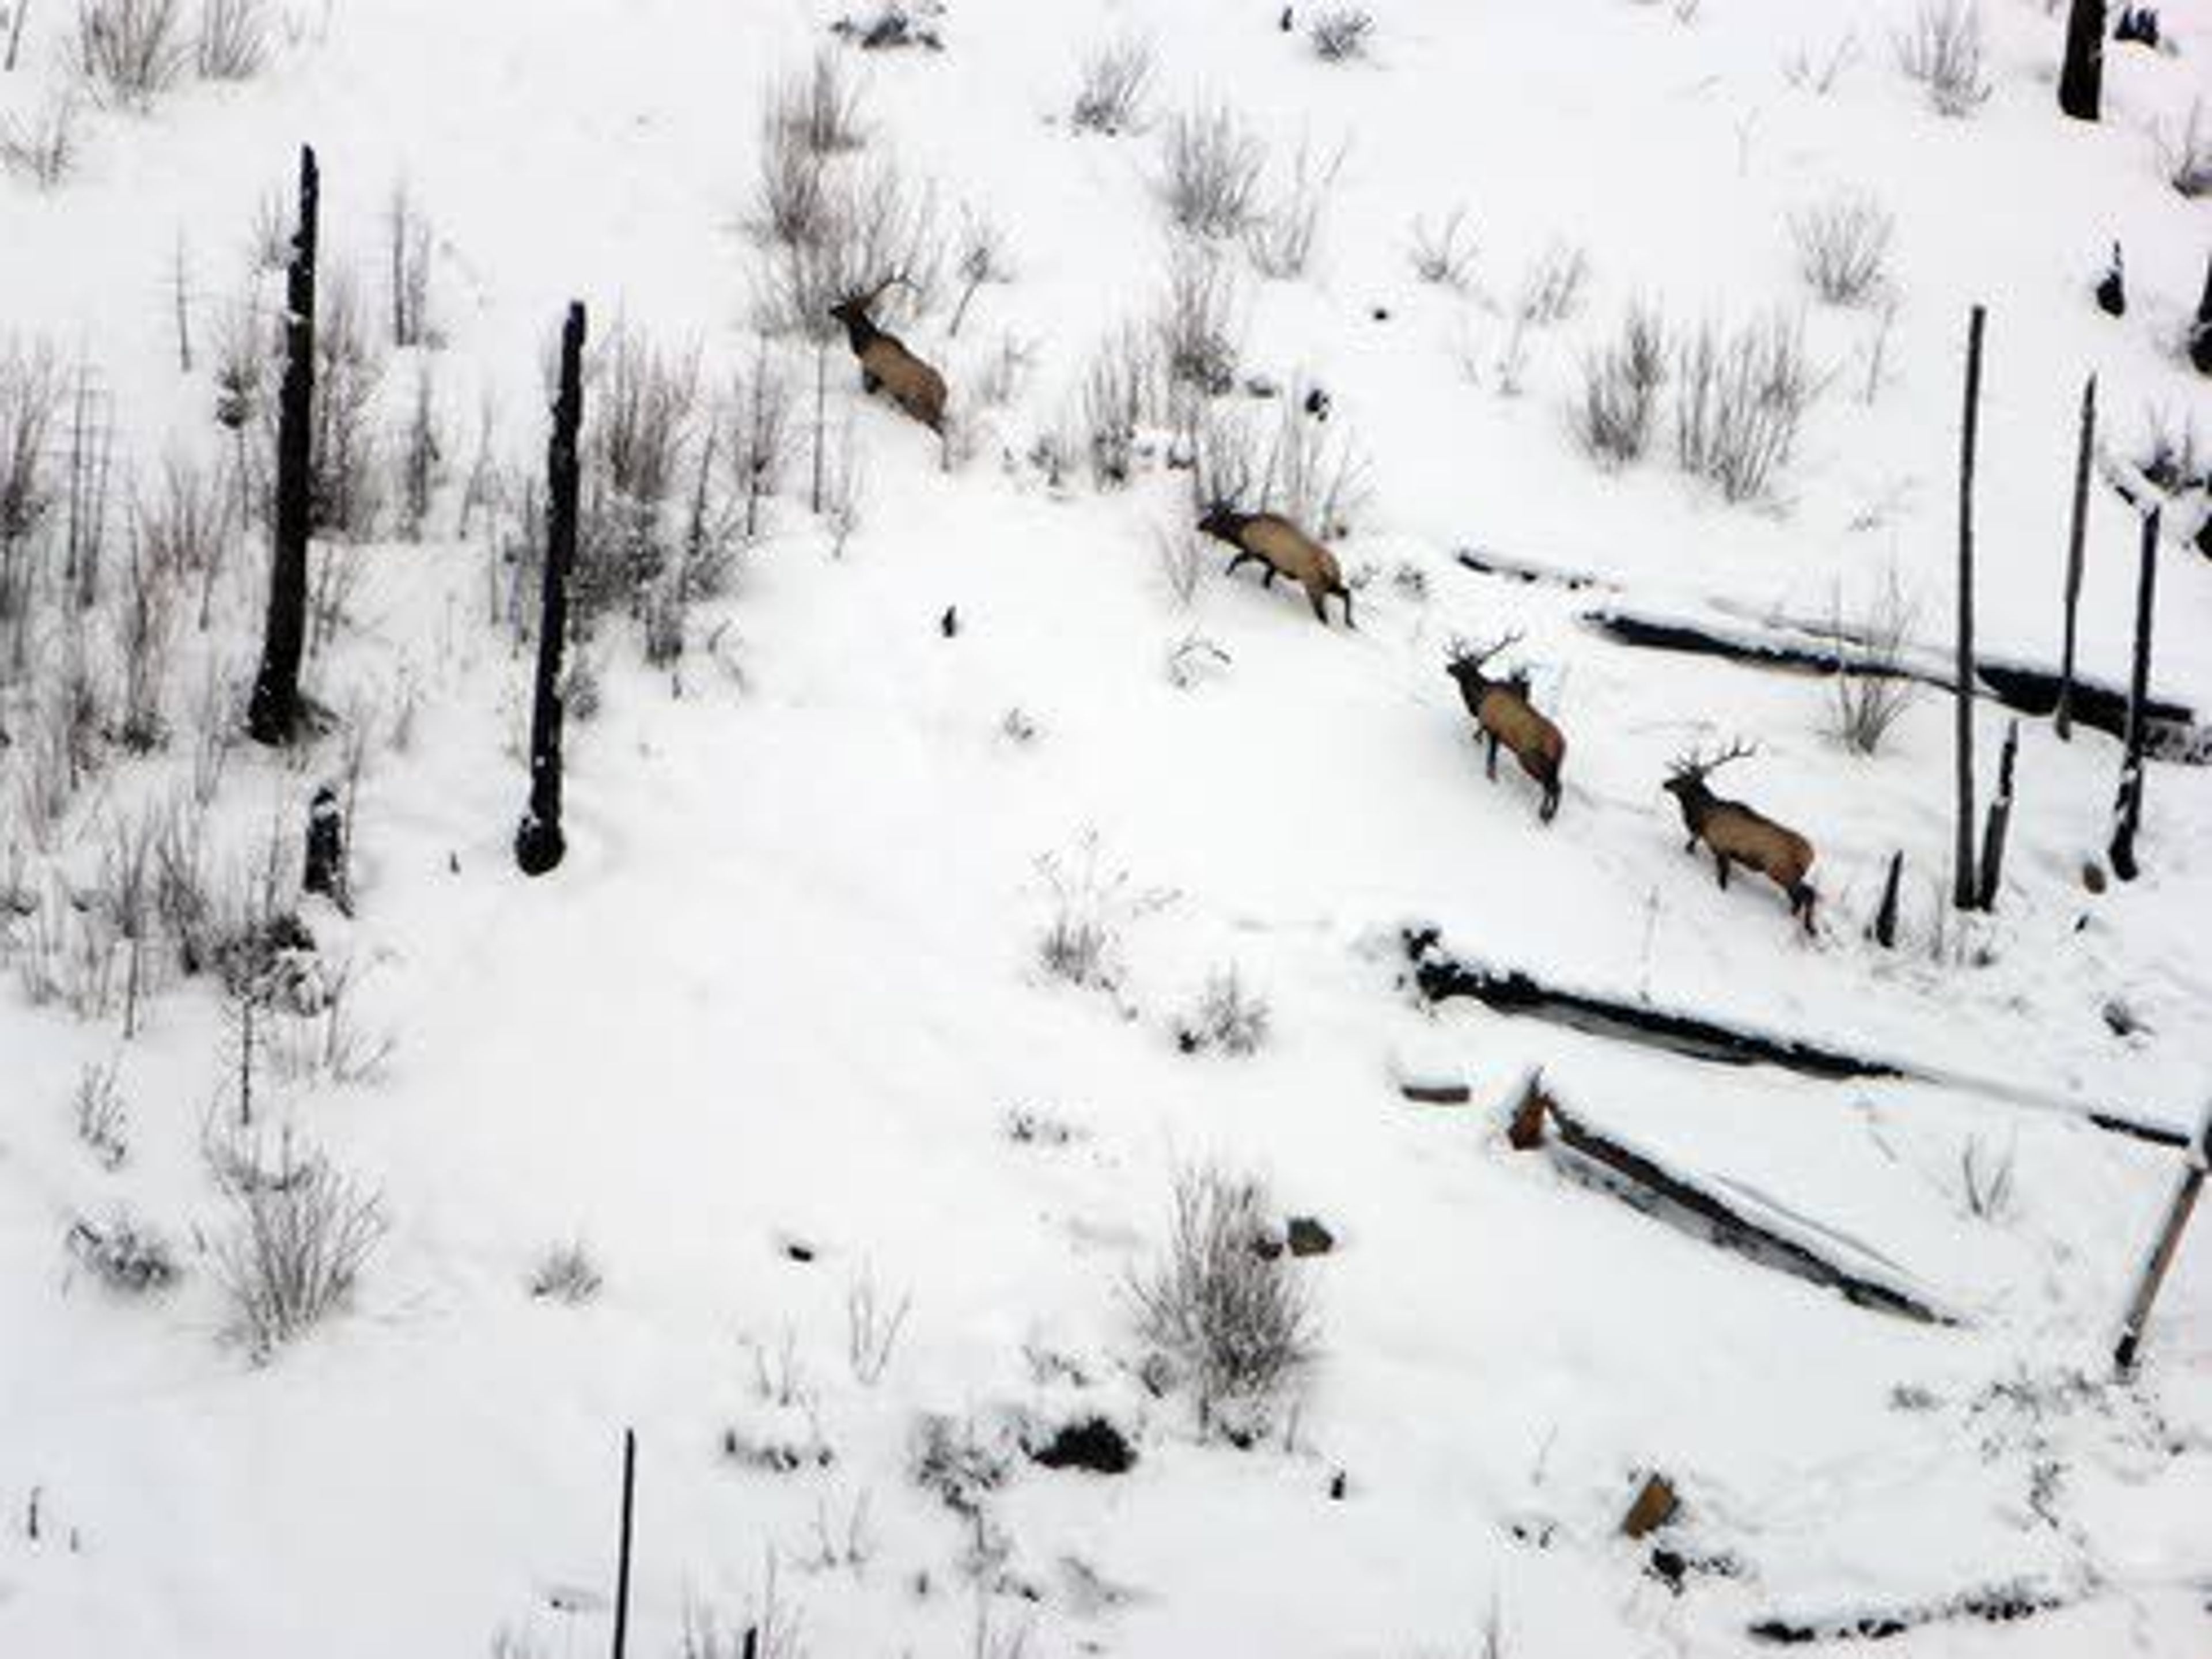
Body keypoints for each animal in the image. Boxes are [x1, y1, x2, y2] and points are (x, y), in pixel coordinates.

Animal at [823, 277, 942, 435]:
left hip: (918, 406)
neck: (864, 345)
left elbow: (868, 391)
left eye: (846, 306)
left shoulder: (870, 371)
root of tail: (942, 394)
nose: (830, 310)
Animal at [1442, 628, 1566, 827]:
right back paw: (1549, 815)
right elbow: (1480, 732)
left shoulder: (1495, 730)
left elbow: (1491, 756)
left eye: (1463, 666)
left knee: (1552, 786)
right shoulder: (1489, 725)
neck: (1479, 698)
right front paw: (1477, 740)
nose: (1447, 667)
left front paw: (1491, 776)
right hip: (1555, 766)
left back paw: (1544, 814)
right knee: (1558, 785)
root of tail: (1562, 746)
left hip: (1530, 758)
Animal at [1663, 738, 1813, 938]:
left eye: (1685, 779)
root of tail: (1811, 855)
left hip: (1780, 871)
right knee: (1804, 895)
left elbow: (1722, 879)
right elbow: (1691, 844)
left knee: (1807, 894)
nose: (1665, 783)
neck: (1703, 816)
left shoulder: (1722, 849)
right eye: (1680, 774)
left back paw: (1807, 926)